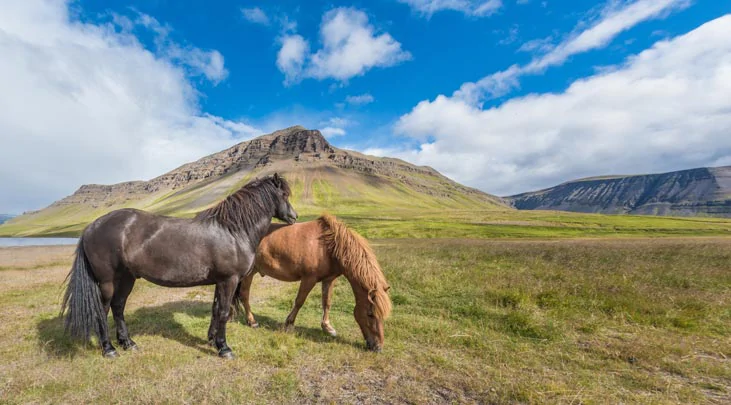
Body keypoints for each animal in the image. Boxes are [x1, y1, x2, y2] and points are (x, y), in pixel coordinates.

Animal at [60, 173, 298, 356]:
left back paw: (128, 343)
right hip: (107, 281)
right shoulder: (228, 280)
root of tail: (91, 226)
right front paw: (224, 348)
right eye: (284, 195)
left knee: (118, 307)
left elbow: (215, 309)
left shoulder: (219, 281)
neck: (231, 231)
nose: (294, 217)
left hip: (127, 278)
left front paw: (212, 340)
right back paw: (109, 349)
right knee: (103, 310)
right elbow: (222, 312)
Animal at [229, 215, 392, 350]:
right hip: (249, 273)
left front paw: (327, 327)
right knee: (244, 295)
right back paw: (251, 321)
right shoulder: (309, 278)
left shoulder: (329, 279)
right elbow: (299, 301)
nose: (378, 347)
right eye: (370, 314)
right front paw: (289, 324)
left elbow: (327, 302)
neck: (328, 245)